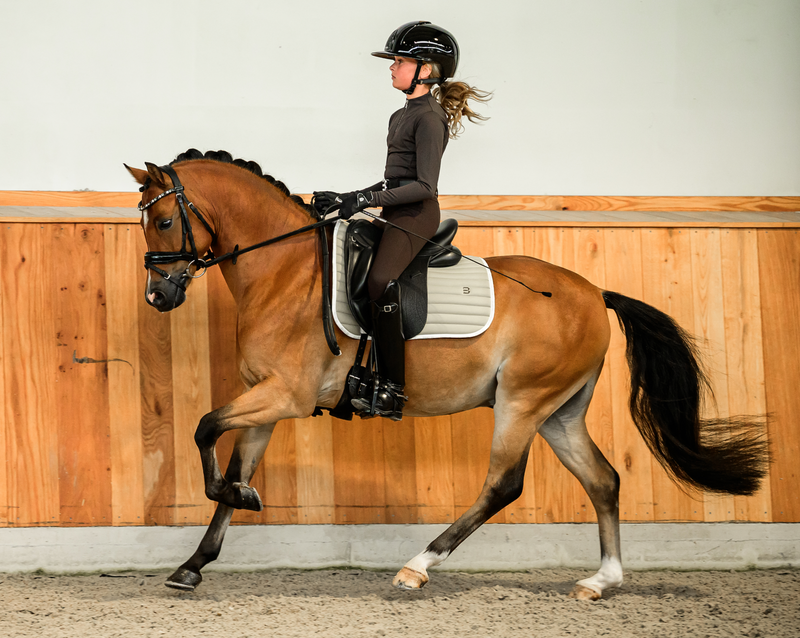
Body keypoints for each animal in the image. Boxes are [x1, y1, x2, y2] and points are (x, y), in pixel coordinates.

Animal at [123, 150, 768, 600]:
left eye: (163, 221)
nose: (158, 296)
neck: (285, 272)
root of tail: (594, 293)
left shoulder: (286, 394)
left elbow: (205, 428)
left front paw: (238, 500)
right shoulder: (266, 397)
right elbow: (230, 463)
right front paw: (194, 562)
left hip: (522, 403)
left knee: (504, 485)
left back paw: (418, 566)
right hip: (559, 411)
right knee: (603, 479)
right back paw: (600, 581)